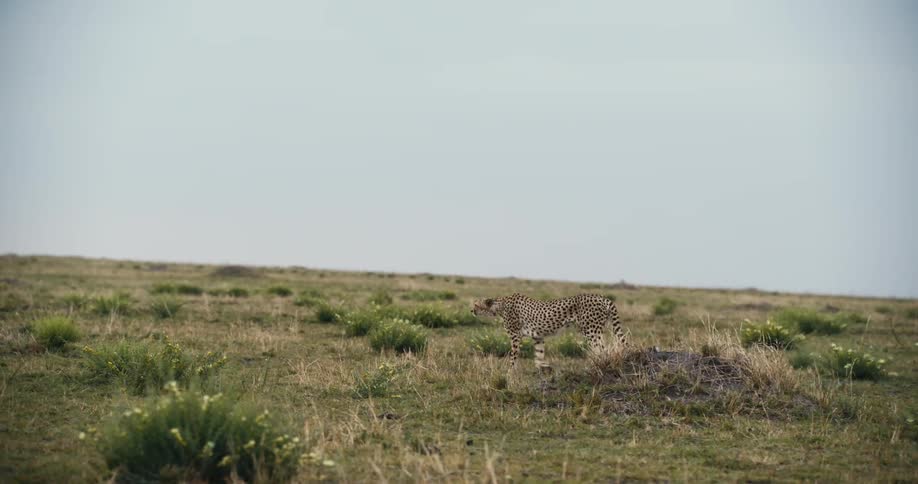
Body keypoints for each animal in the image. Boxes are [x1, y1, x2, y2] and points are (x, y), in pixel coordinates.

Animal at [471, 293, 626, 373]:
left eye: (476, 305)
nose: (471, 311)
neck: (500, 305)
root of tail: (602, 298)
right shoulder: (538, 337)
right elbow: (539, 355)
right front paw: (545, 367)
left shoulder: (515, 337)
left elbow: (513, 357)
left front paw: (510, 373)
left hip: (591, 331)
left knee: (602, 350)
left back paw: (600, 366)